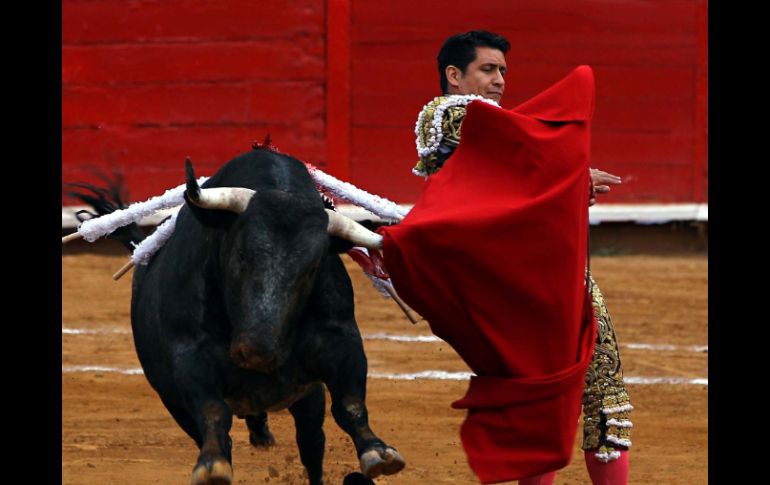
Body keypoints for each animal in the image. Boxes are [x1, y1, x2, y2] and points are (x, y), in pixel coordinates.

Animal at [75, 148, 404, 484]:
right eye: (242, 255)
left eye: (312, 268)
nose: (257, 351)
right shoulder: (190, 356)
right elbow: (212, 411)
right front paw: (212, 466)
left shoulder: (340, 339)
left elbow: (350, 402)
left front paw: (377, 452)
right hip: (173, 400)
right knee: (217, 434)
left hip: (307, 397)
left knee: (311, 443)